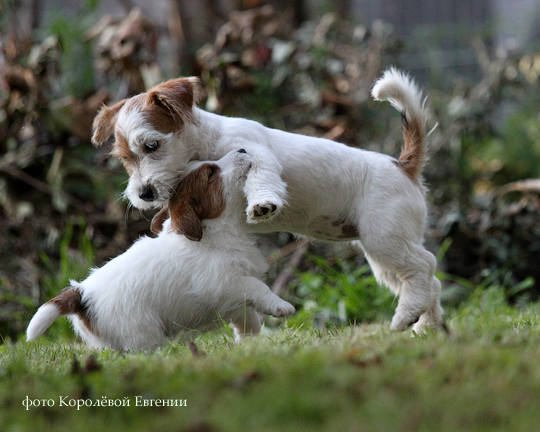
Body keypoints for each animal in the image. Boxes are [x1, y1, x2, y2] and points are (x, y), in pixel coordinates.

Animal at [25, 151, 296, 352]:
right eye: (211, 172)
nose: (242, 149)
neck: (217, 232)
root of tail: (81, 293)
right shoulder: (224, 282)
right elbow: (256, 287)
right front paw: (281, 306)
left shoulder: (230, 298)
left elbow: (246, 314)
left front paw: (250, 340)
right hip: (141, 331)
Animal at [89, 67, 442, 332]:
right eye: (124, 158)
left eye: (152, 145)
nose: (143, 194)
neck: (207, 142)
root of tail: (402, 166)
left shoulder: (256, 155)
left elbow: (261, 178)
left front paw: (261, 205)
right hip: (385, 254)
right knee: (428, 281)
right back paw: (426, 326)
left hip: (385, 240)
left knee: (425, 266)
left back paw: (405, 317)